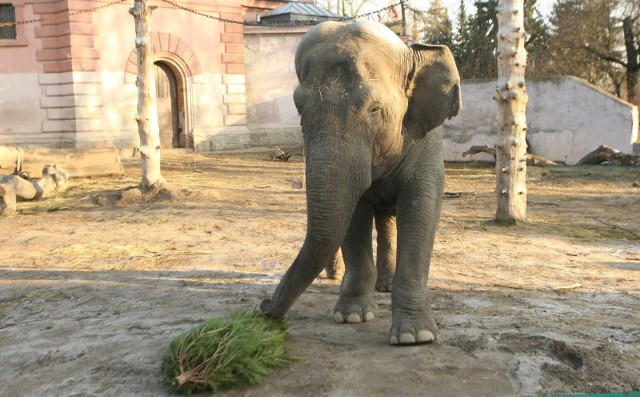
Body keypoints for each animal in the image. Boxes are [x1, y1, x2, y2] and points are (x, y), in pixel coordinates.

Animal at [260, 19, 460, 344]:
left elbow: (421, 210)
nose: (264, 306)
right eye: (299, 108)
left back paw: (385, 287)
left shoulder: (426, 144)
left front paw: (415, 337)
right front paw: (352, 316)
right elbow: (353, 218)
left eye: (374, 110)